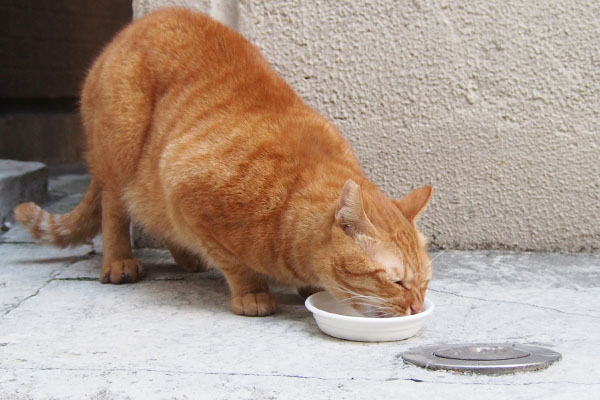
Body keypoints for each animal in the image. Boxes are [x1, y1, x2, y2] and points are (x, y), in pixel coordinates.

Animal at [14, 7, 434, 318]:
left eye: (425, 282)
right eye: (397, 281)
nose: (416, 307)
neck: (286, 209)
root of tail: (133, 26)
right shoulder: (186, 195)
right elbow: (233, 263)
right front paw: (253, 293)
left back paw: (185, 258)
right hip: (121, 147)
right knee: (114, 210)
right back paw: (120, 261)